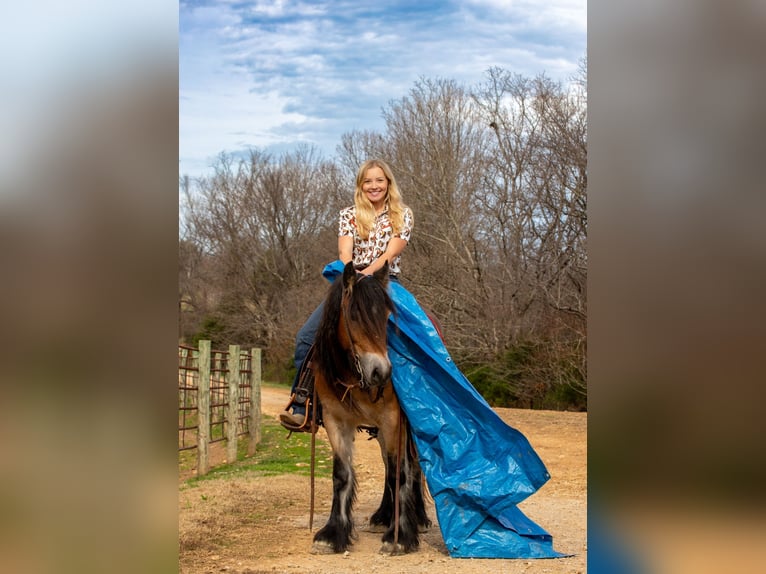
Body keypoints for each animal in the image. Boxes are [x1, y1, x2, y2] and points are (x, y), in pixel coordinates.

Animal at [310, 260, 431, 555]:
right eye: (353, 317)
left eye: (387, 317)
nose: (381, 372)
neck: (353, 376)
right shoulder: (335, 420)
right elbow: (341, 474)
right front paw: (332, 534)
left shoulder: (393, 419)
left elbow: (400, 473)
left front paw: (399, 536)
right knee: (388, 465)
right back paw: (381, 516)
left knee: (411, 467)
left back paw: (419, 519)